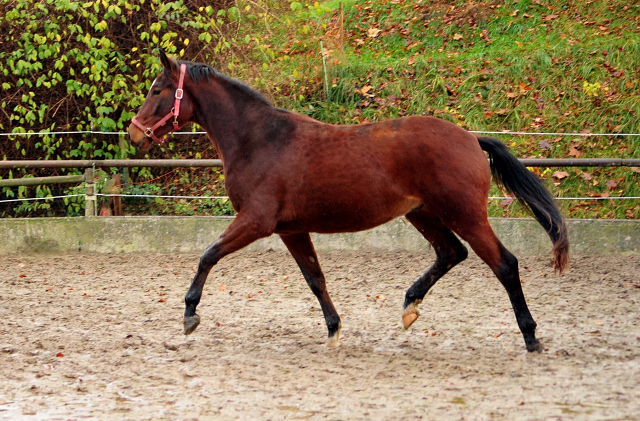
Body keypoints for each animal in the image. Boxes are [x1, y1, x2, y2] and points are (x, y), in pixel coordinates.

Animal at [127, 53, 568, 354]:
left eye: (156, 90)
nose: (133, 133)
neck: (259, 139)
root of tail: (471, 138)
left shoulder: (255, 221)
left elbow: (207, 255)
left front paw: (190, 315)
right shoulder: (291, 229)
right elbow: (315, 279)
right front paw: (334, 329)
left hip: (465, 214)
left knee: (504, 264)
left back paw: (531, 337)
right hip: (423, 213)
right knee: (451, 253)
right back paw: (409, 306)